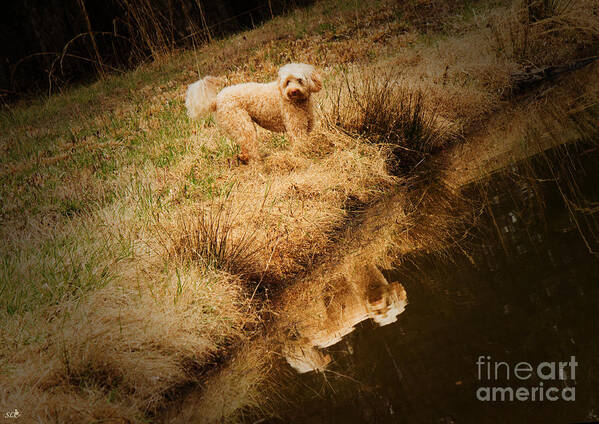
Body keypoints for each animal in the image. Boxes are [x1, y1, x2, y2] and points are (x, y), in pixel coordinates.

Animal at [188, 62, 324, 162]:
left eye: (299, 80)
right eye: (287, 82)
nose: (293, 91)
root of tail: (216, 100)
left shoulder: (306, 125)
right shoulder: (296, 127)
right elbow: (299, 143)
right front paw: (302, 155)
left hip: (237, 127)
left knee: (244, 144)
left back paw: (243, 158)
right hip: (242, 124)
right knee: (250, 145)